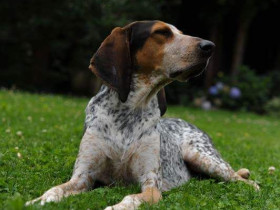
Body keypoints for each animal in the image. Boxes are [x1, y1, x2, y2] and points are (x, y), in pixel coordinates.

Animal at [25, 20, 258, 209]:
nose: (210, 46)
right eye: (162, 32)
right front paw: (38, 200)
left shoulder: (150, 184)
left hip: (203, 157)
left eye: (181, 33)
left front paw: (115, 207)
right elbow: (54, 189)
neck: (129, 110)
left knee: (244, 180)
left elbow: (131, 198)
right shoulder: (83, 176)